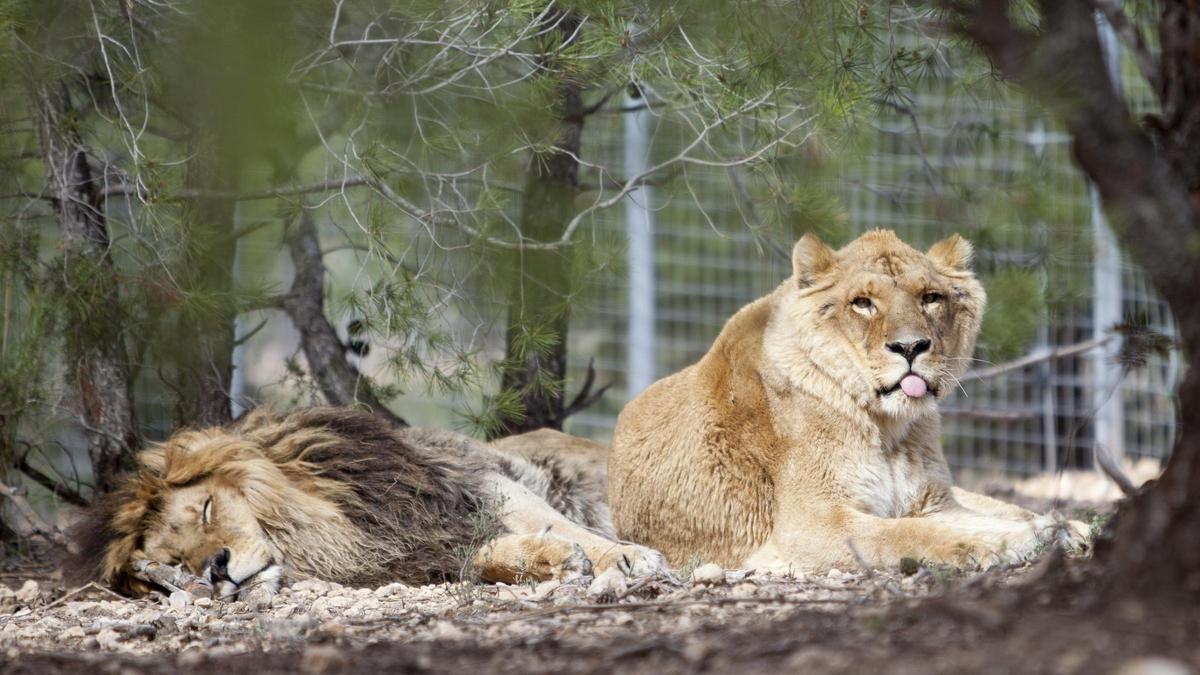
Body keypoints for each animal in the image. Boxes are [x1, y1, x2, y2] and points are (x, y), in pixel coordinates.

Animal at [70, 403, 672, 598]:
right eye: (175, 561)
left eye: (207, 510)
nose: (216, 567)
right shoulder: (413, 554)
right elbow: (484, 559)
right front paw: (550, 561)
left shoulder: (480, 482)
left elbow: (565, 527)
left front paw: (628, 558)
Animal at [609, 228, 1089, 569]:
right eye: (862, 303)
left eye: (930, 298)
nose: (910, 347)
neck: (888, 427)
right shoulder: (811, 524)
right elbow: (903, 535)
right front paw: (985, 546)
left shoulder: (934, 501)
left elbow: (965, 520)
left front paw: (1048, 532)